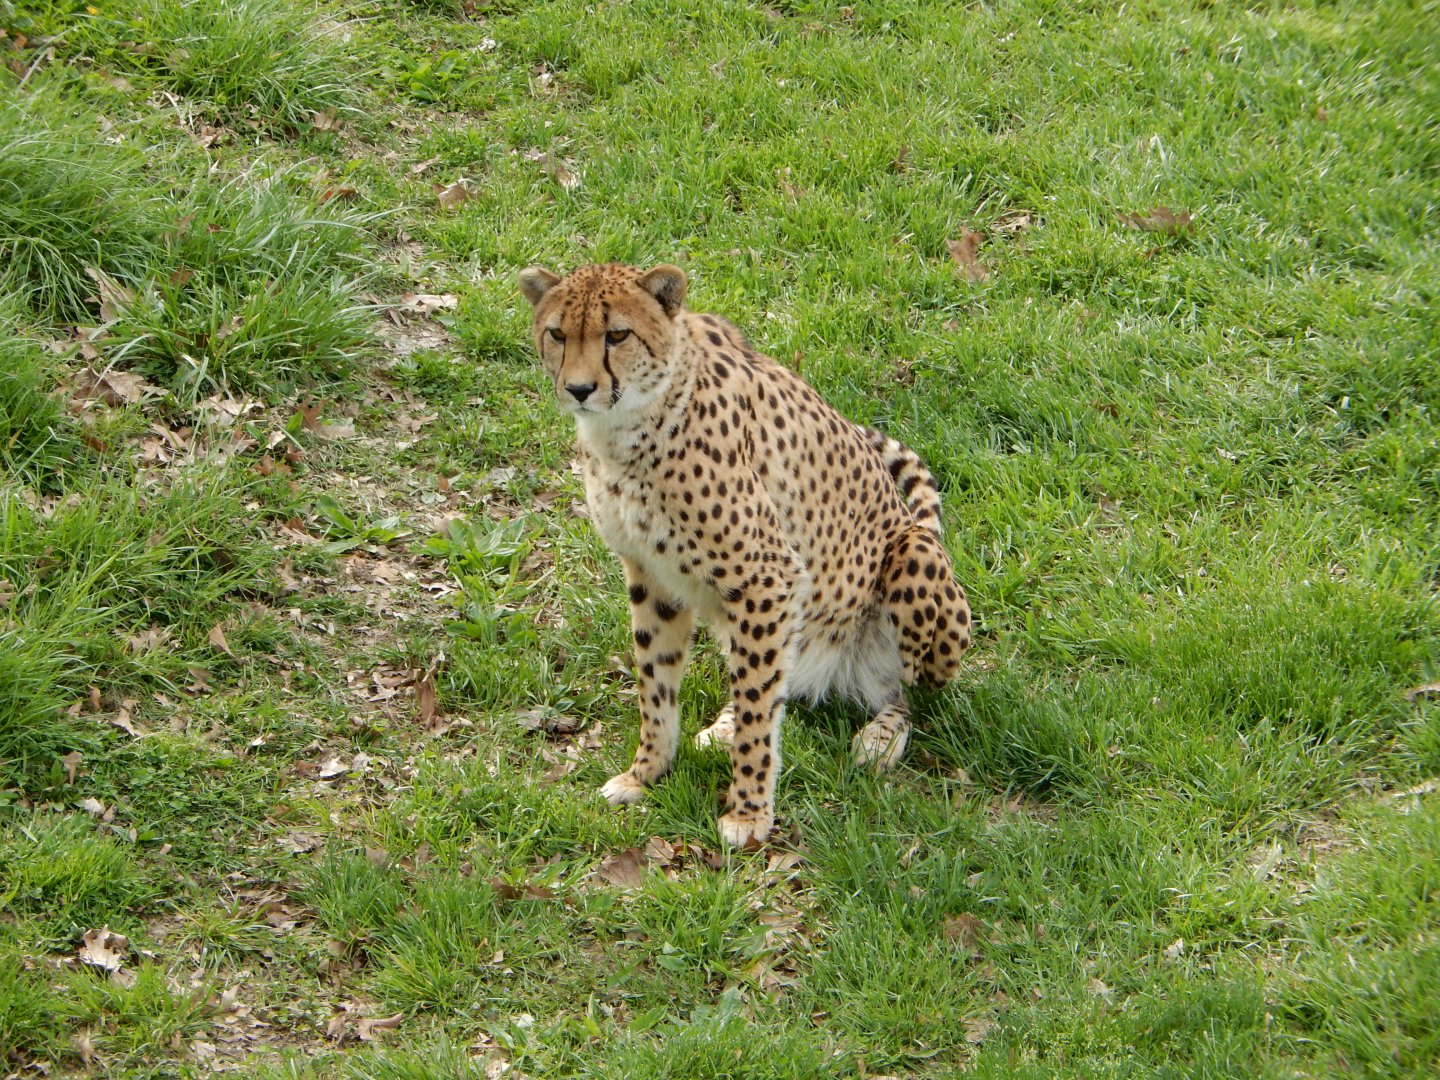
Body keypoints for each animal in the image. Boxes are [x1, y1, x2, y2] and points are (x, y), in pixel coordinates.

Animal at [518, 262, 971, 848]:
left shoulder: (768, 578)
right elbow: (656, 683)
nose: (578, 389)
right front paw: (646, 774)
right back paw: (725, 722)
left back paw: (879, 738)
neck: (632, 424)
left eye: (617, 335)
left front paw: (749, 814)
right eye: (557, 333)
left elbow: (761, 713)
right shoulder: (652, 575)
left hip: (911, 563)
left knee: (904, 692)